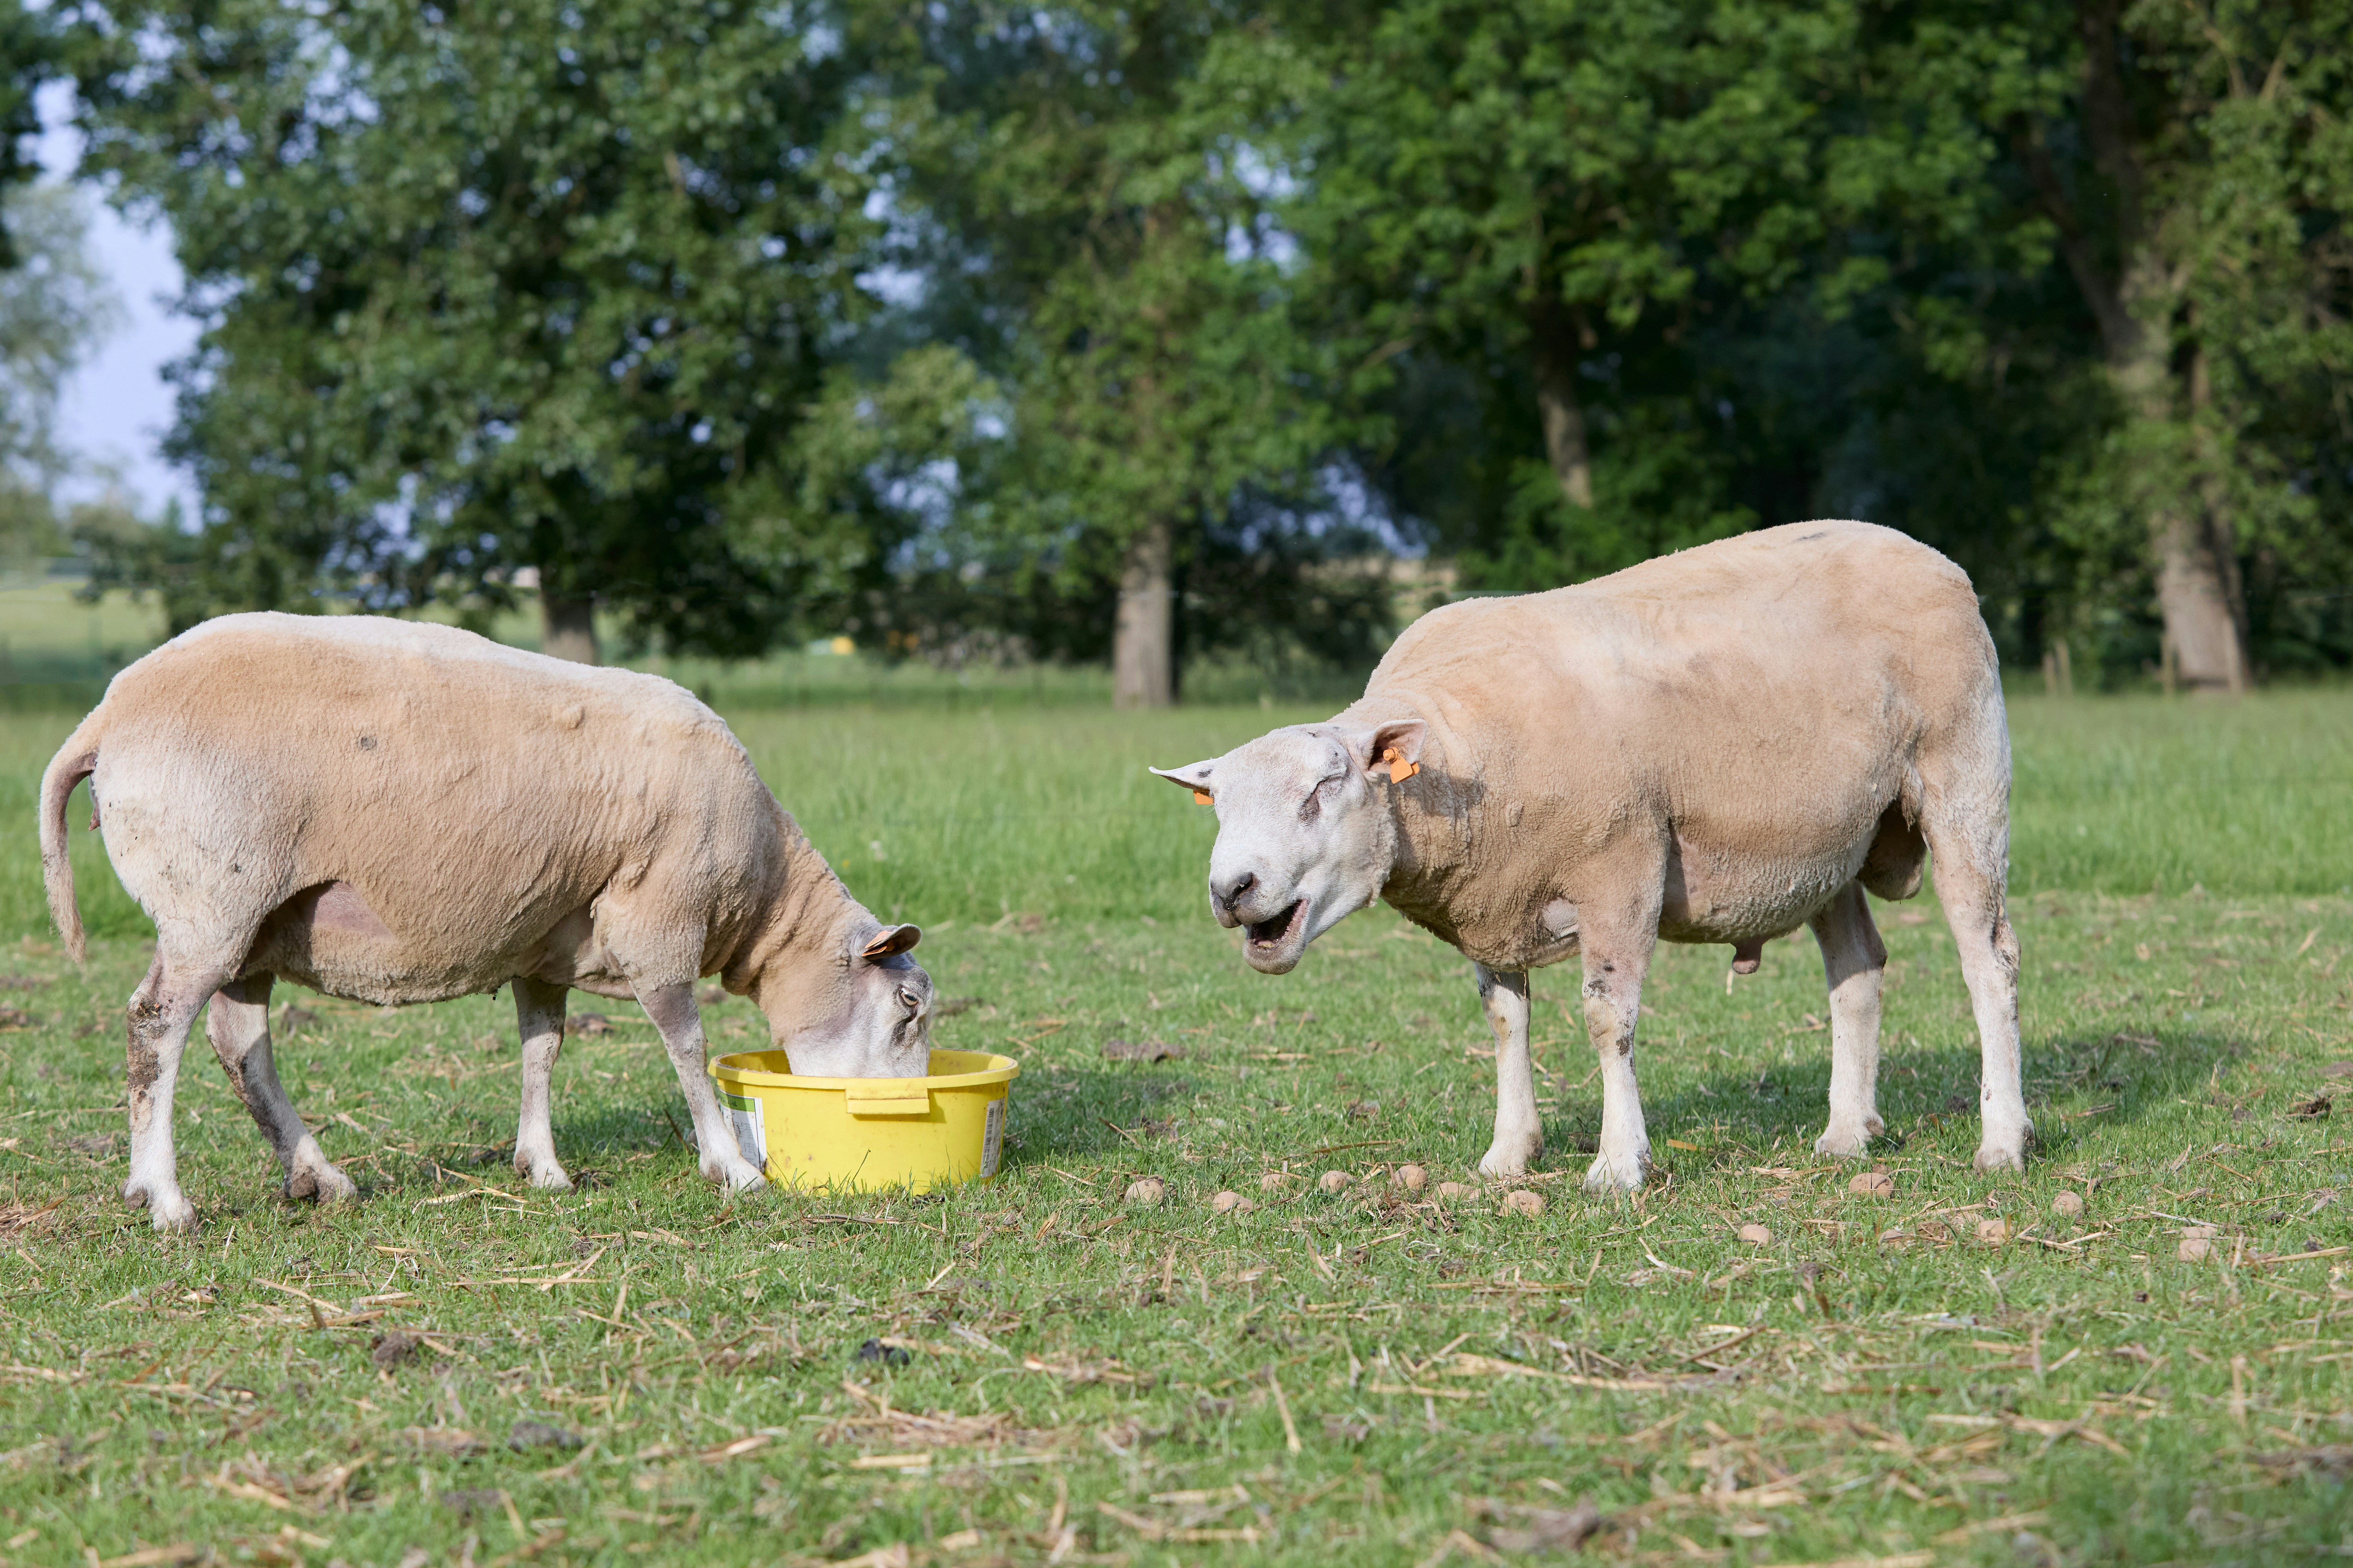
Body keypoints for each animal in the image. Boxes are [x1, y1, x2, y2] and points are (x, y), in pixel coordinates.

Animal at [39, 612, 932, 1231]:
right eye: (909, 1010)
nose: (899, 1110)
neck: (766, 899)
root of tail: (105, 719)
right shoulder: (658, 920)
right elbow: (687, 1046)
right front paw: (733, 1167)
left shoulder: (546, 942)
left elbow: (543, 1050)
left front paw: (543, 1167)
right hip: (208, 898)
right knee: (156, 1026)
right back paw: (164, 1198)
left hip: (257, 924)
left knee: (242, 1047)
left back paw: (318, 1178)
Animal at [1153, 521, 2026, 1192]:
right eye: (1216, 804)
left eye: (1323, 788)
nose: (1232, 888)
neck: (1459, 752)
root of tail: (1930, 556)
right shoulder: (1495, 896)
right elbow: (1504, 1022)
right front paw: (1508, 1153)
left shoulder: (1621, 866)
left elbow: (1609, 1020)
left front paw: (1617, 1164)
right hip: (1825, 843)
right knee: (1857, 970)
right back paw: (1847, 1131)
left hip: (1963, 782)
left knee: (1990, 960)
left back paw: (2003, 1140)